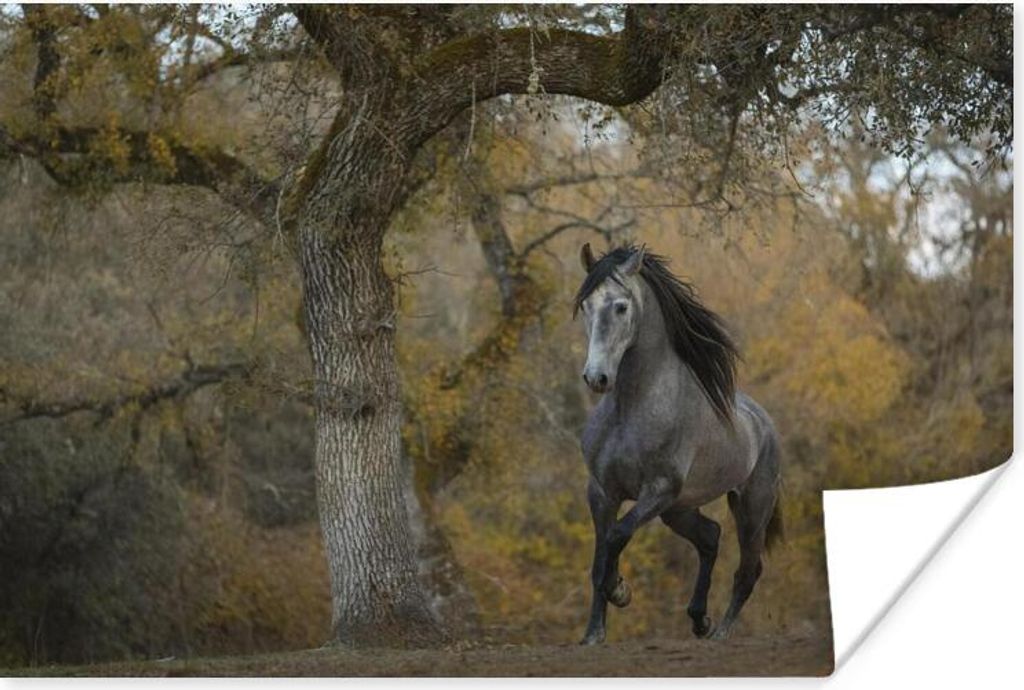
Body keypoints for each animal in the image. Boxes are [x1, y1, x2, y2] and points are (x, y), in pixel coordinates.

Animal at [573, 242, 783, 645]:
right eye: (586, 305)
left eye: (620, 307)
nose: (596, 378)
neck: (631, 409)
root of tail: (765, 423)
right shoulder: (602, 491)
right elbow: (598, 557)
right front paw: (592, 634)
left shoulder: (658, 490)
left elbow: (617, 536)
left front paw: (619, 590)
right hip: (679, 510)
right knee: (710, 537)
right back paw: (699, 620)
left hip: (750, 508)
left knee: (747, 571)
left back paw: (720, 633)